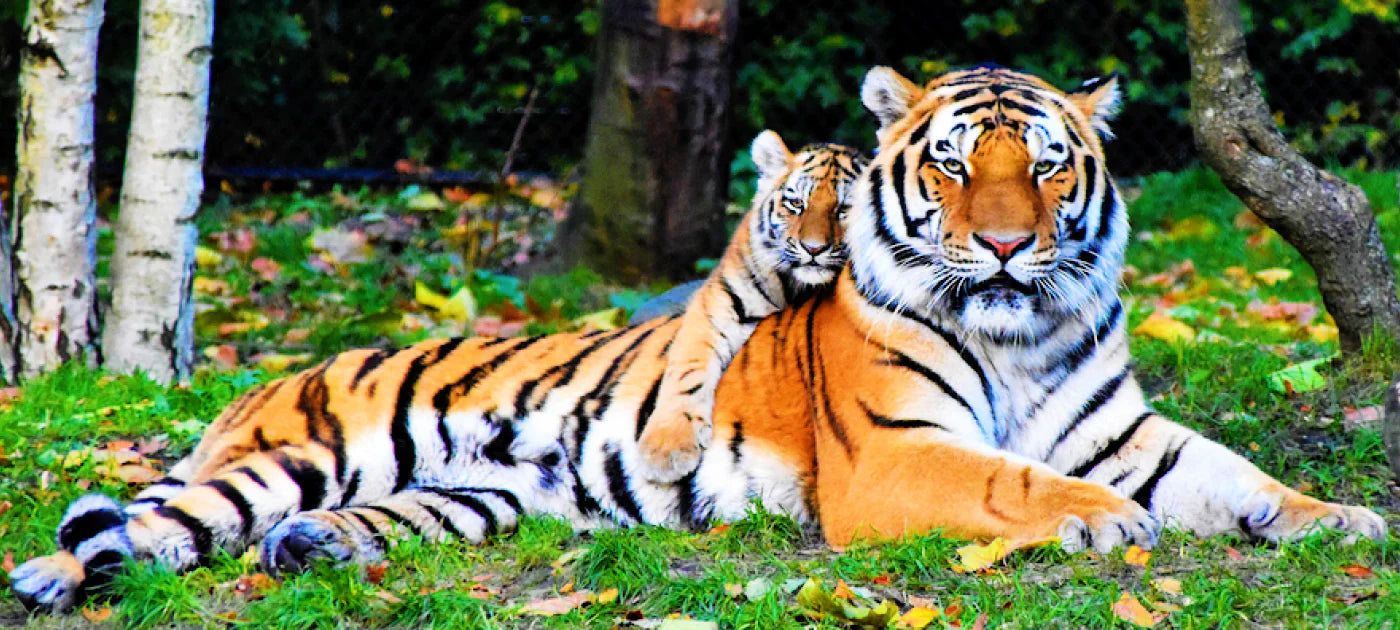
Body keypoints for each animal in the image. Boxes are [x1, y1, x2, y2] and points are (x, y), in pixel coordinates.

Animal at [636, 131, 865, 482]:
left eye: (844, 209)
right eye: (796, 204)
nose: (813, 249)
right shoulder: (717, 304)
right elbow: (687, 368)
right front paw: (666, 449)